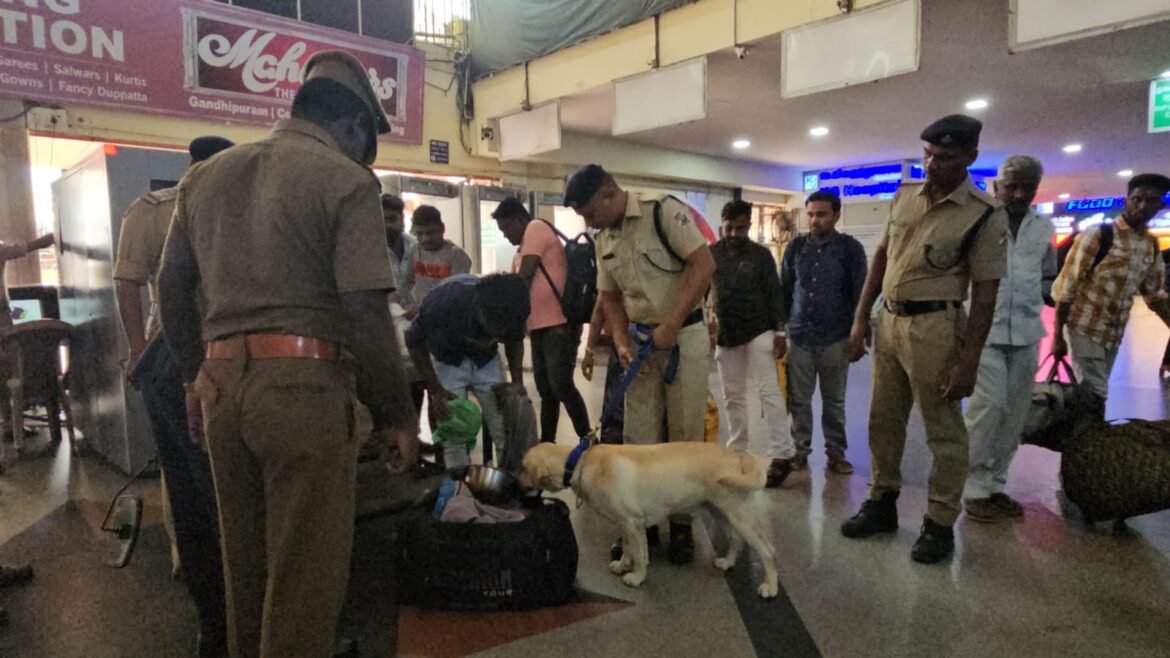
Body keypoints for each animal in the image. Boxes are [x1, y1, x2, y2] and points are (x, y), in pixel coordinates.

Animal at [519, 440, 776, 594]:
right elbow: (628, 549)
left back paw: (770, 587)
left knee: (767, 551)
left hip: (739, 515)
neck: (579, 464)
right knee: (737, 540)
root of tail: (738, 455)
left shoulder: (633, 523)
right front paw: (622, 565)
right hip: (721, 512)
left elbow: (641, 555)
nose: (513, 477)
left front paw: (636, 577)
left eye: (523, 467)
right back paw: (727, 562)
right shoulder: (624, 523)